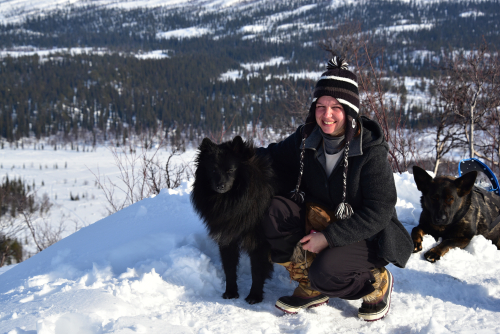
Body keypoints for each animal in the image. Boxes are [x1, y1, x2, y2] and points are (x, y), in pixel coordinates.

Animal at [192, 136, 278, 306]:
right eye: (213, 170)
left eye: (230, 170)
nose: (220, 185)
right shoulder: (226, 237)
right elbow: (229, 268)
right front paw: (230, 292)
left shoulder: (258, 241)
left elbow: (257, 270)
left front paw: (254, 296)